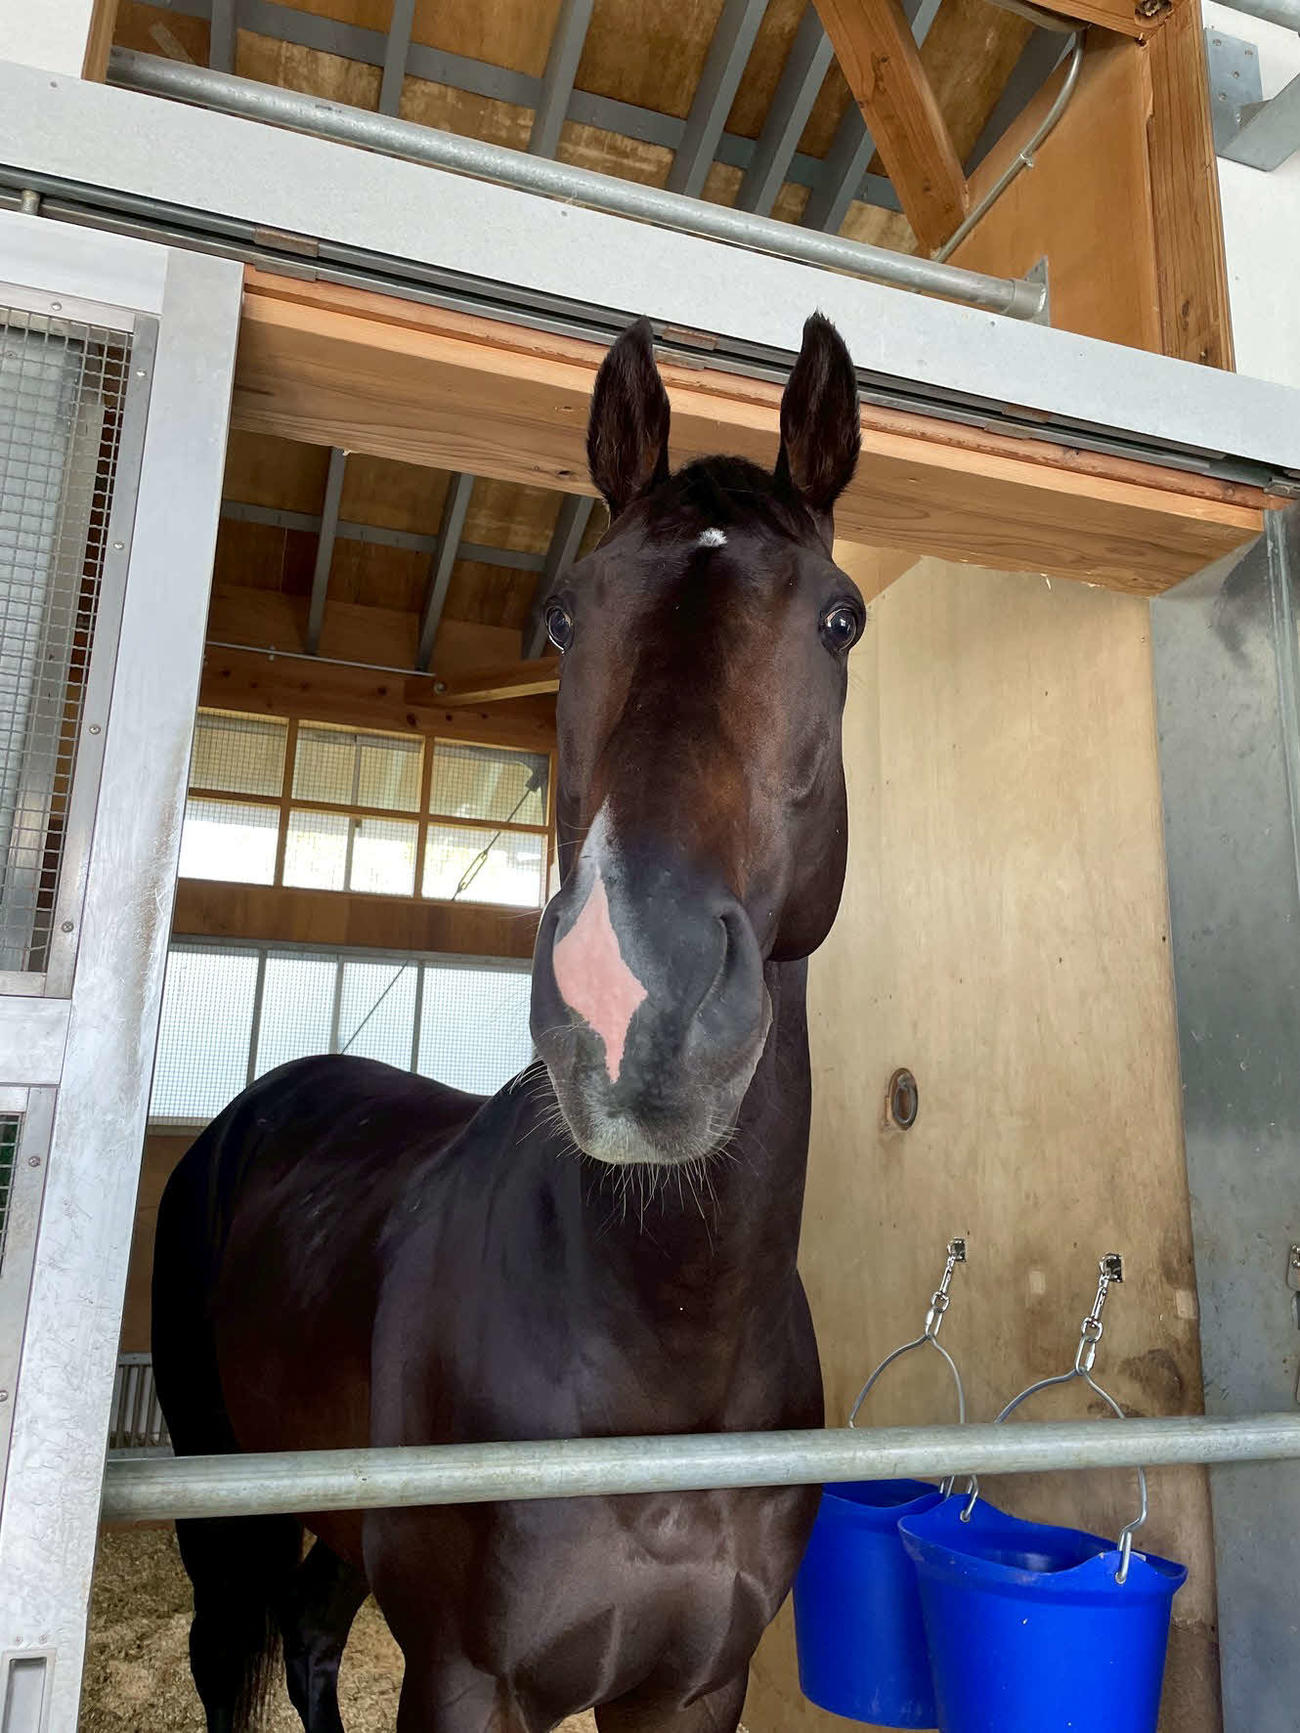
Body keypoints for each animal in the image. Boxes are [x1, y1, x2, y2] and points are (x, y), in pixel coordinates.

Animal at [151, 309, 865, 1733]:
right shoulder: (467, 1679)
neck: (665, 1350)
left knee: (310, 1633)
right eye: (563, 614)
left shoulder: (695, 1685)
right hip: (224, 1499)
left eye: (840, 618)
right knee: (234, 1657)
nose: (626, 990)